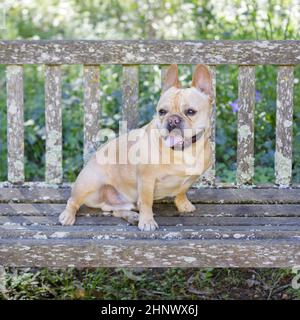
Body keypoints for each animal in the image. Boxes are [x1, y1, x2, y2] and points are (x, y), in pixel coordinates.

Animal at [59, 64, 213, 230]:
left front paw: (183, 204)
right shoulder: (146, 179)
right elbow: (146, 201)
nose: (172, 120)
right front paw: (147, 221)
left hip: (120, 202)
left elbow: (182, 191)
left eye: (190, 111)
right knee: (72, 201)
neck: (183, 153)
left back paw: (131, 216)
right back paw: (68, 216)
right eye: (162, 112)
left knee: (116, 210)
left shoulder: (191, 179)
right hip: (88, 184)